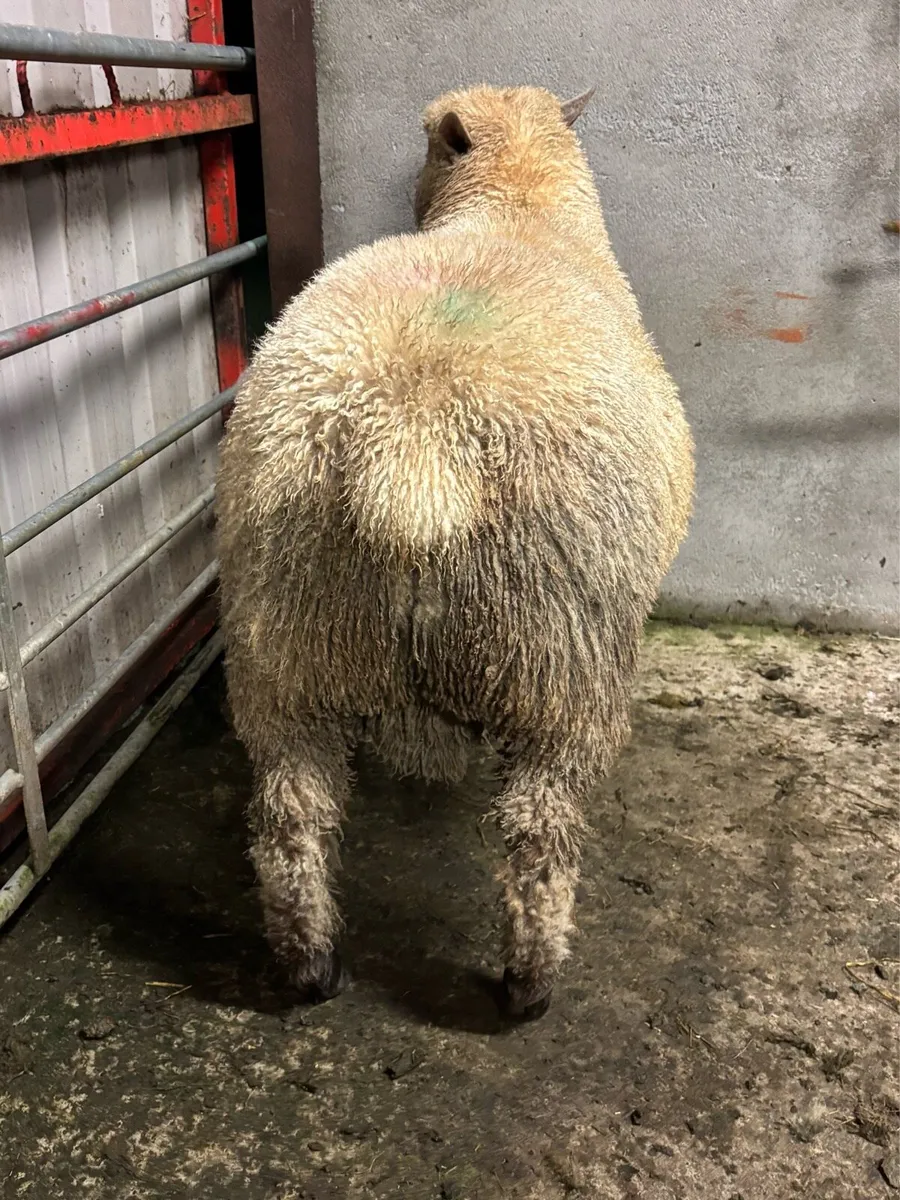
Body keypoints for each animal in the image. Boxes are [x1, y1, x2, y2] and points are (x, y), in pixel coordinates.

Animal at [215, 84, 694, 1020]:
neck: (518, 204)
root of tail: (412, 439)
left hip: (284, 645)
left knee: (290, 821)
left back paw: (309, 965)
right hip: (561, 662)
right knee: (538, 836)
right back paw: (529, 986)